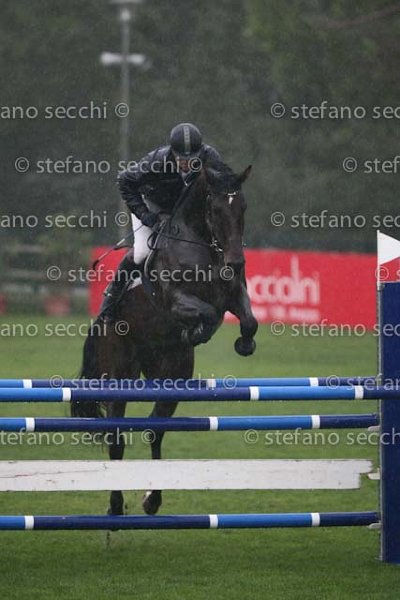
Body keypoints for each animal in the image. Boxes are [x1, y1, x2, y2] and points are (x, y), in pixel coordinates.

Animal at [72, 162, 258, 516]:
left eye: (243, 208)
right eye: (215, 209)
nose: (236, 261)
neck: (203, 244)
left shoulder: (233, 293)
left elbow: (249, 320)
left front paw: (244, 344)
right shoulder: (176, 300)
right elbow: (207, 315)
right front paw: (195, 331)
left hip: (172, 375)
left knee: (154, 430)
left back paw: (152, 499)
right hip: (120, 374)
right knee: (116, 437)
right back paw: (115, 505)